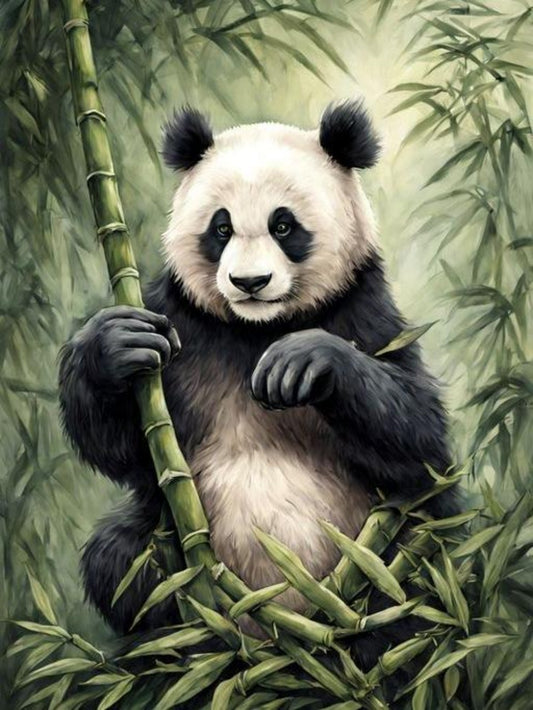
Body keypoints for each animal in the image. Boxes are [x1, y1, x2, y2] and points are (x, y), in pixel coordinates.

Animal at [58, 99, 457, 665]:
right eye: (221, 228)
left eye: (284, 225)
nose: (250, 283)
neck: (255, 329)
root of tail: (276, 645)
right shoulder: (182, 325)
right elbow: (126, 450)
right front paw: (115, 344)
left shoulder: (364, 311)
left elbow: (421, 437)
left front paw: (301, 363)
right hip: (167, 547)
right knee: (120, 563)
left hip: (388, 557)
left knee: (425, 568)